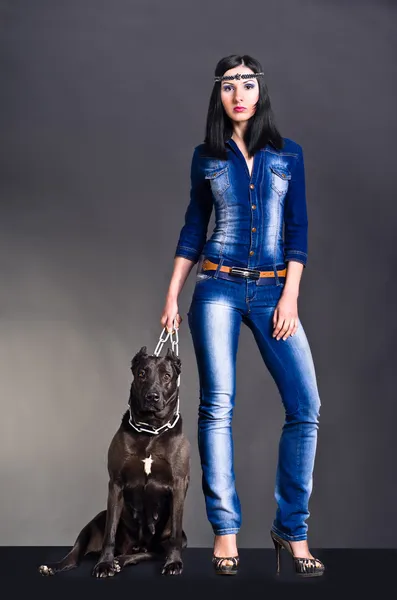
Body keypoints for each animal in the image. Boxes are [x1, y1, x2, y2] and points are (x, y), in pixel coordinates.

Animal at [38, 346, 189, 576]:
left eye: (166, 376)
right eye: (142, 374)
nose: (152, 396)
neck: (150, 431)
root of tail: (135, 545)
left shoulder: (179, 484)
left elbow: (174, 537)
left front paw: (173, 563)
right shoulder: (116, 483)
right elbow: (109, 533)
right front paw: (104, 564)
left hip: (171, 540)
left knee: (150, 552)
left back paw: (124, 559)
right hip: (96, 520)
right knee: (76, 552)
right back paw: (58, 566)